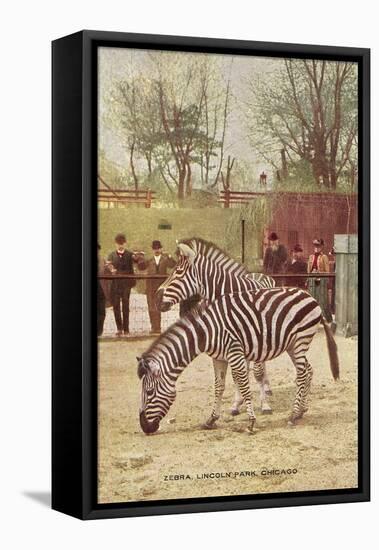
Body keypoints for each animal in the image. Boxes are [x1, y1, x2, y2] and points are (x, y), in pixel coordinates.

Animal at [138, 288, 340, 436]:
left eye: (149, 392)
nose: (144, 428)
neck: (206, 332)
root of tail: (310, 296)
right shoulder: (218, 358)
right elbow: (219, 387)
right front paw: (211, 420)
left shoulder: (234, 352)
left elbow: (243, 385)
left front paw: (251, 422)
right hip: (292, 344)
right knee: (309, 370)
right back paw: (301, 411)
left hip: (300, 340)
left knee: (303, 374)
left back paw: (293, 414)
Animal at [156, 237, 278, 414]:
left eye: (178, 272)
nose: (156, 299)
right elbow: (236, 375)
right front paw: (236, 403)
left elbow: (258, 373)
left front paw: (265, 405)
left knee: (260, 366)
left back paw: (267, 389)